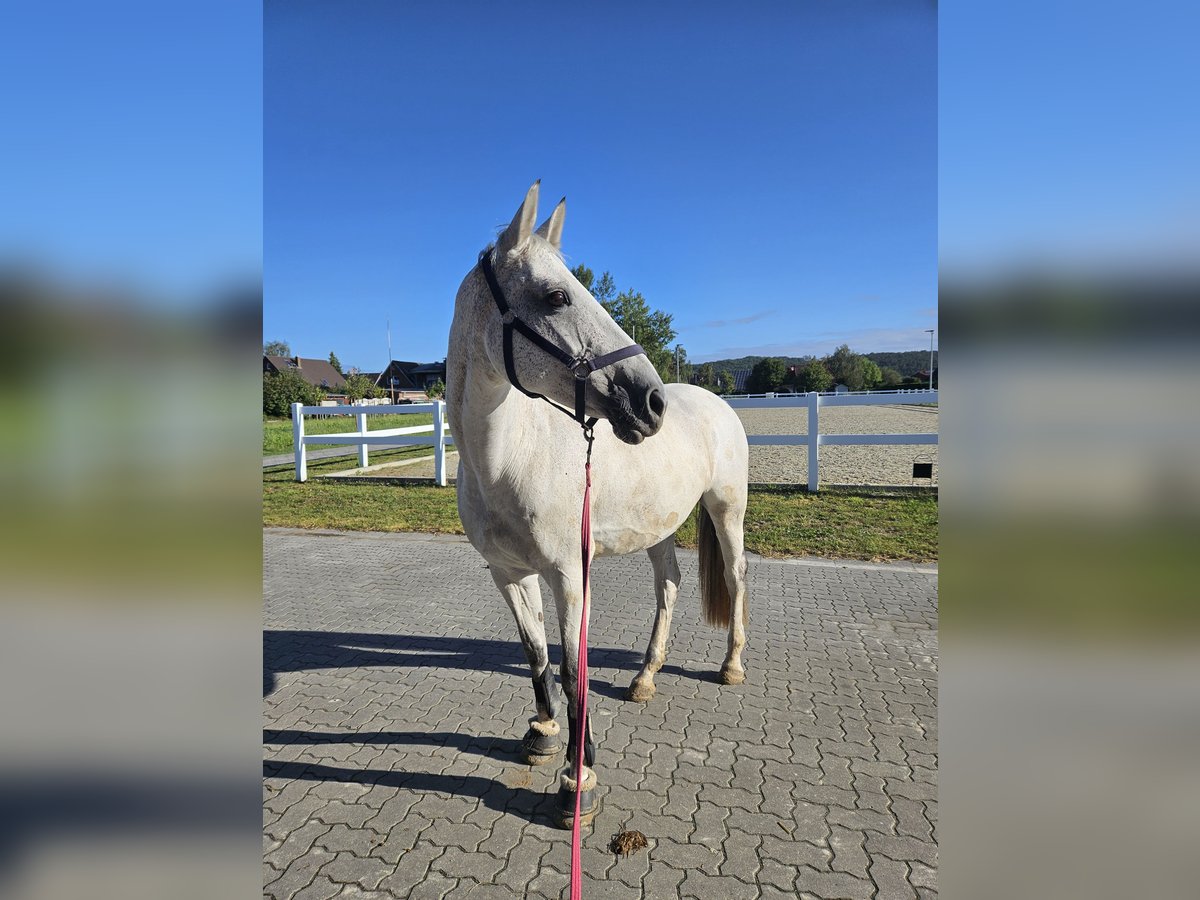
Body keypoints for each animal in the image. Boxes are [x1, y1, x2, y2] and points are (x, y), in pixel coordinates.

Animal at [451, 184, 748, 830]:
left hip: (725, 511)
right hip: (659, 528)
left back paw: (732, 666)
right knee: (669, 586)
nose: (651, 401)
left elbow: (572, 669)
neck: (509, 458)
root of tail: (712, 401)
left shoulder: (568, 573)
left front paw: (576, 777)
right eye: (557, 296)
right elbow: (535, 651)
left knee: (737, 579)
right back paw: (645, 677)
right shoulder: (509, 574)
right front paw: (541, 733)